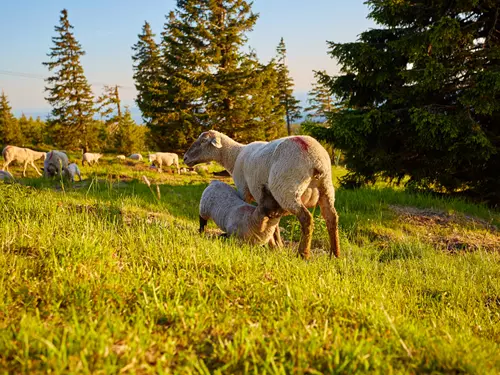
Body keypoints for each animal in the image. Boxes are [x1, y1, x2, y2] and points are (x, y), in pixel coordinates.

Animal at [184, 131, 340, 260]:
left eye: (203, 141)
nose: (185, 158)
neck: (234, 156)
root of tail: (316, 160)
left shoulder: (243, 190)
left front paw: (273, 245)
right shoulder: (266, 198)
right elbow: (273, 222)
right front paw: (277, 245)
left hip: (287, 188)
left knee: (306, 218)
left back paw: (303, 254)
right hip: (326, 188)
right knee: (331, 218)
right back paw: (334, 254)